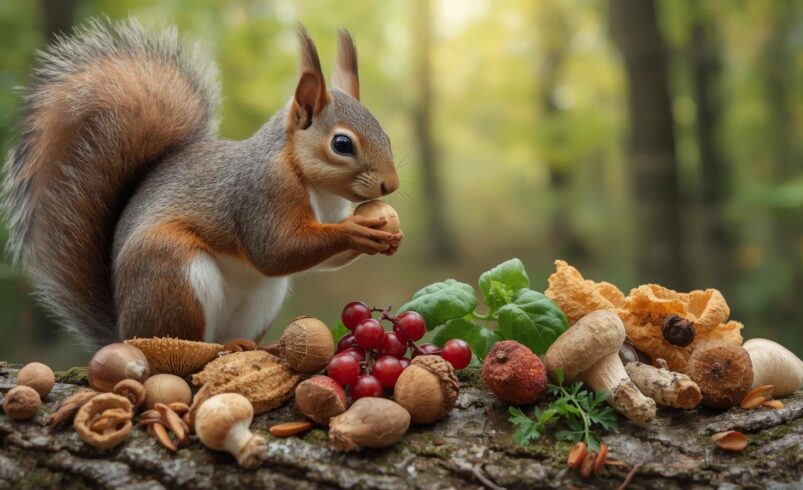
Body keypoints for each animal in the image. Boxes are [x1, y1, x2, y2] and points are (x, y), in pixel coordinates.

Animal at [3, 19, 402, 349]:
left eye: (385, 133)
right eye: (342, 144)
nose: (391, 185)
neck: (316, 186)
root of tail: (124, 334)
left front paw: (387, 237)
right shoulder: (261, 193)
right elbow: (275, 250)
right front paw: (355, 231)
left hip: (261, 299)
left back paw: (255, 346)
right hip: (174, 275)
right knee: (189, 345)